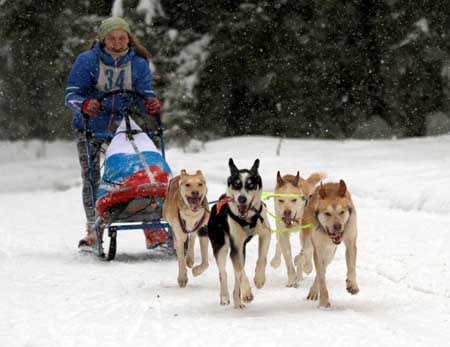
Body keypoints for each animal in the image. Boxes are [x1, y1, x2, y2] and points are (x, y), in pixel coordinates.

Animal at [207, 159, 270, 308]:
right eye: (236, 185)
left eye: (251, 185)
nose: (242, 199)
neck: (247, 220)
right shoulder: (235, 247)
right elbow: (241, 272)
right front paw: (247, 292)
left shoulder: (265, 234)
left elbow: (262, 257)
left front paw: (259, 278)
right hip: (221, 246)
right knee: (224, 273)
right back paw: (225, 297)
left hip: (242, 250)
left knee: (236, 276)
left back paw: (237, 300)